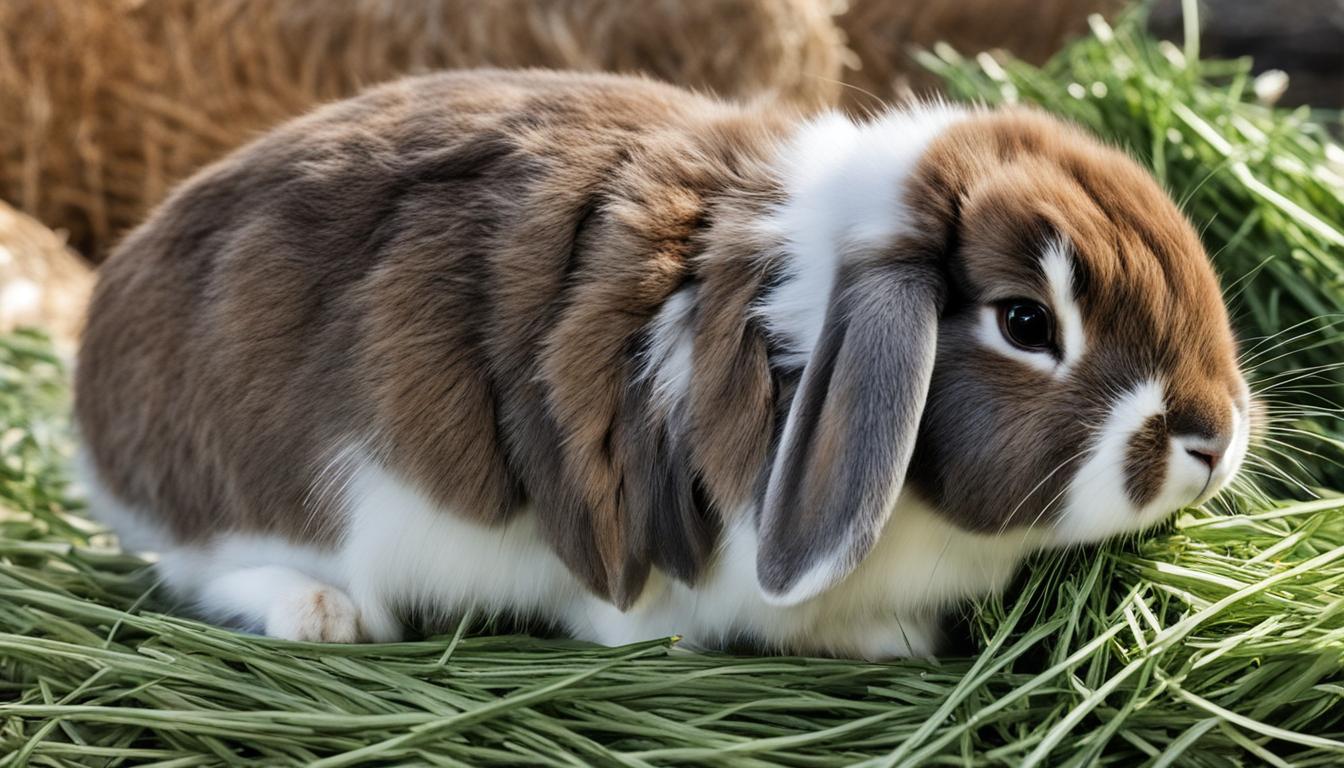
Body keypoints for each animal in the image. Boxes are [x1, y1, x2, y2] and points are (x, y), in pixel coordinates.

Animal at [73, 70, 1247, 661]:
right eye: (1026, 321)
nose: (1215, 434)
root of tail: (92, 405)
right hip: (289, 503)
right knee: (204, 569)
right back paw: (323, 617)